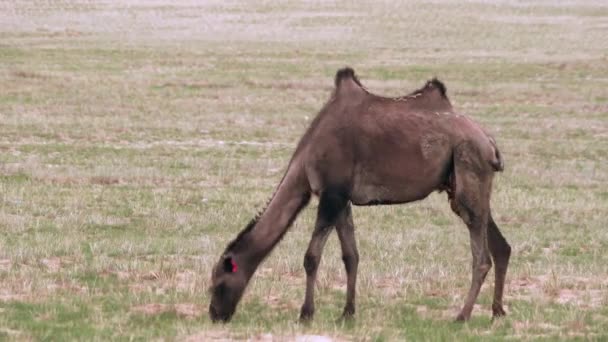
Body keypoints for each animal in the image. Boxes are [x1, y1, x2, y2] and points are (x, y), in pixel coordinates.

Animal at [207, 67, 510, 324]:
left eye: (218, 284)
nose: (215, 315)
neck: (304, 163)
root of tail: (489, 142)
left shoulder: (331, 194)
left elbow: (311, 257)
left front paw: (306, 314)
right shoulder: (342, 198)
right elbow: (350, 256)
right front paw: (347, 314)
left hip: (468, 167)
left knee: (481, 255)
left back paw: (462, 316)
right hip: (464, 184)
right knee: (500, 245)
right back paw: (496, 313)